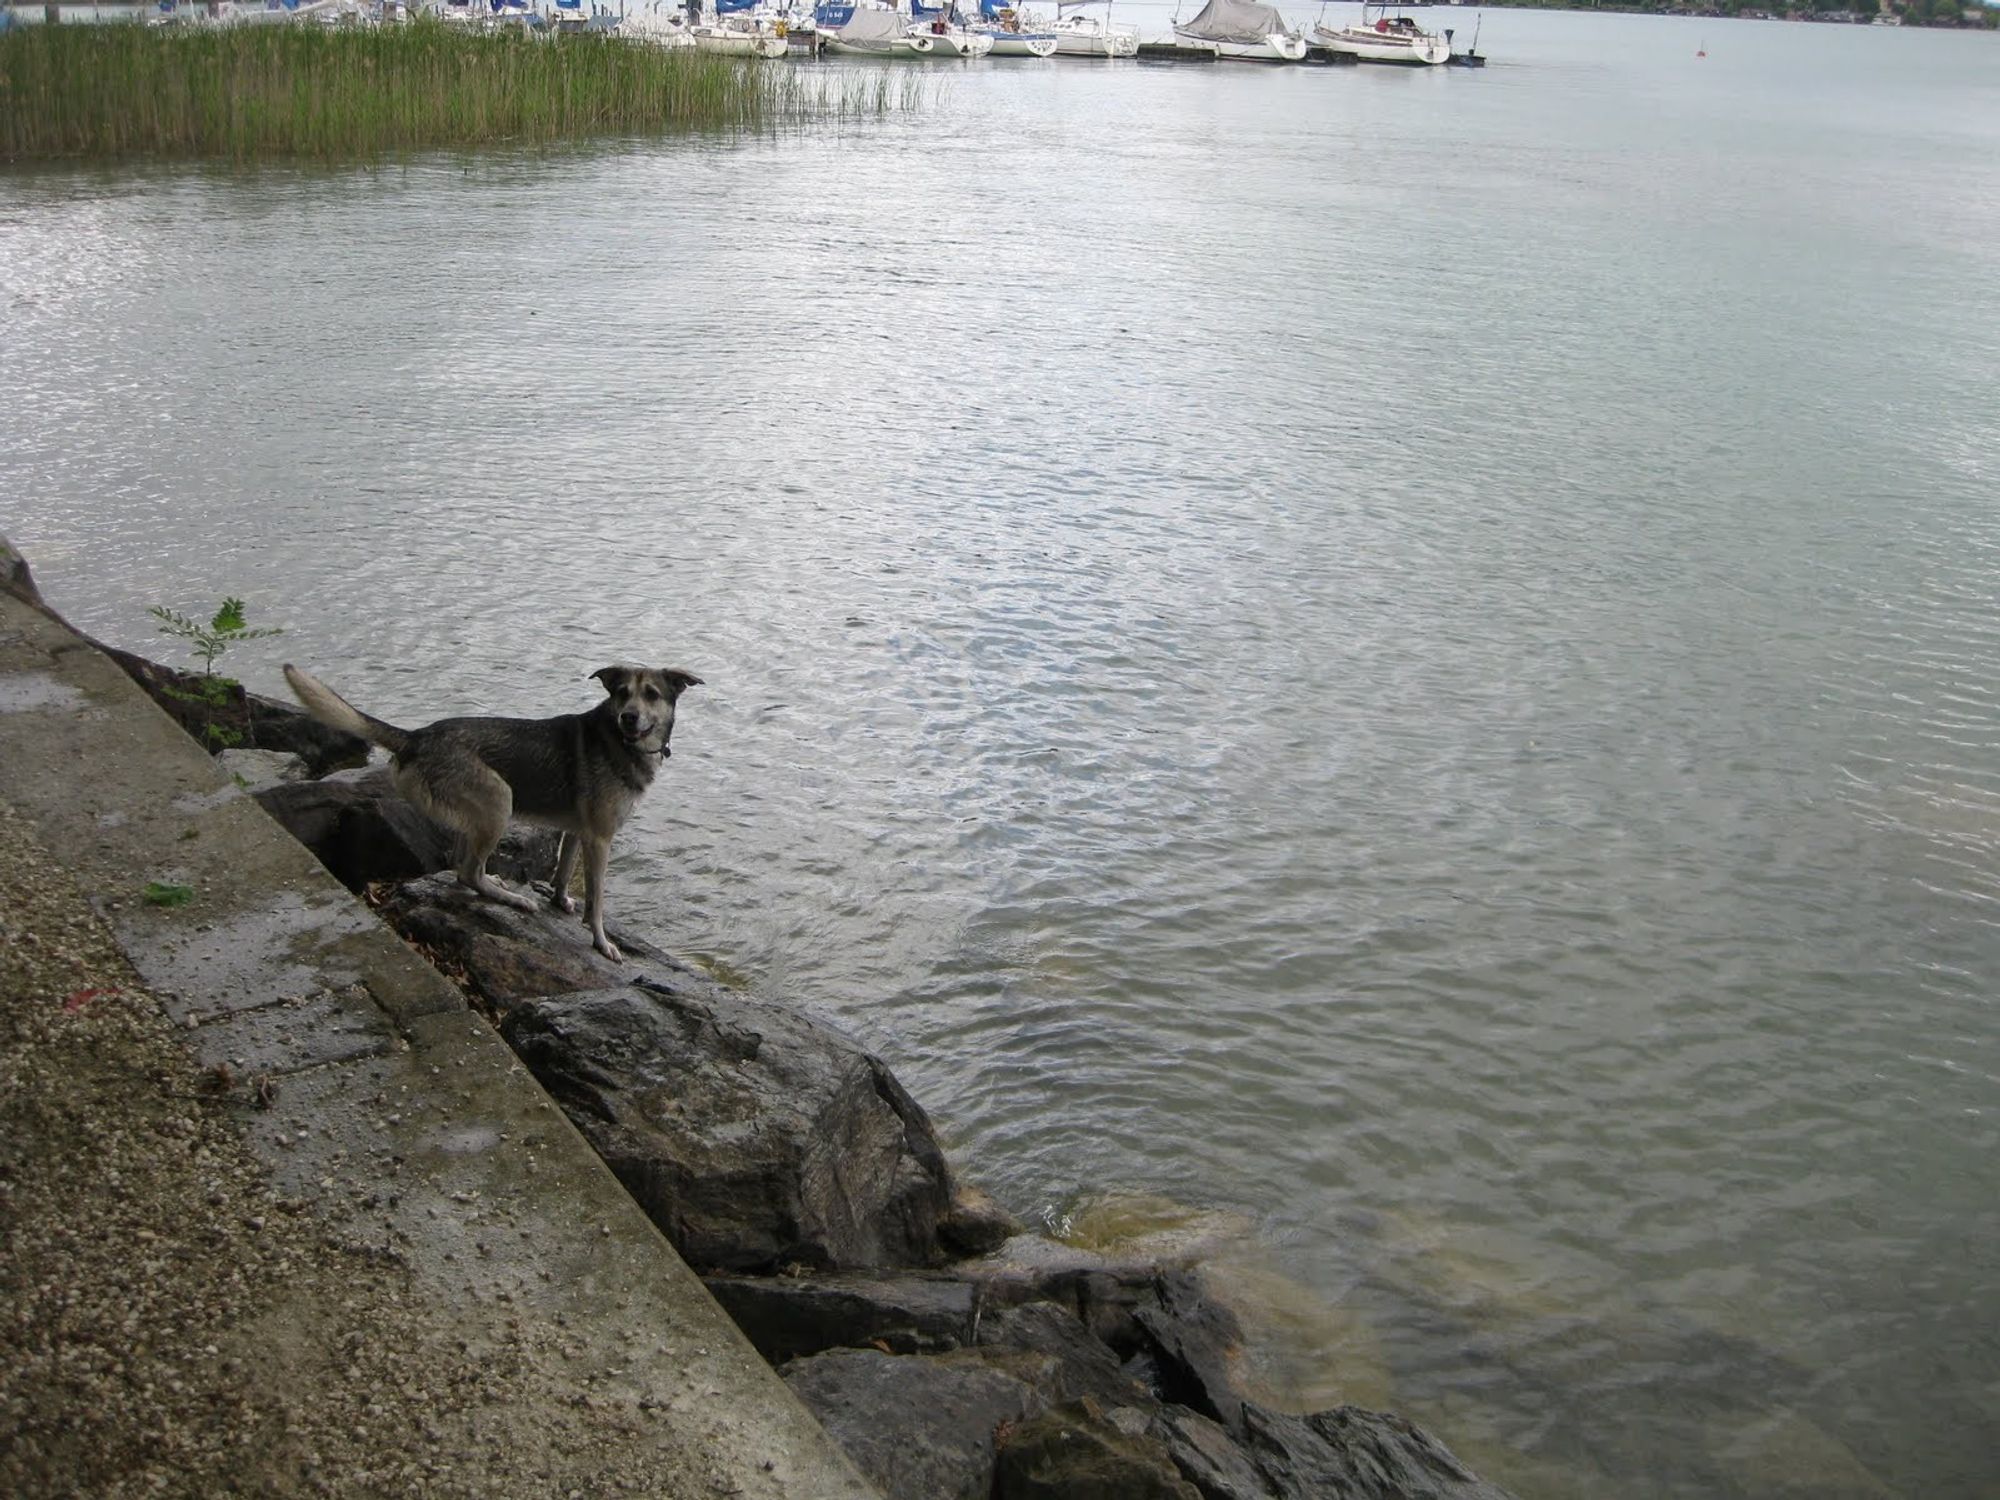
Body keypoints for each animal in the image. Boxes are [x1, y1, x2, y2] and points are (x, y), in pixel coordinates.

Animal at [284, 660, 704, 964]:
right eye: (621, 693)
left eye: (651, 694)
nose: (628, 717)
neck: (619, 740)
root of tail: (416, 736)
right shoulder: (600, 838)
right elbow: (597, 898)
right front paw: (602, 943)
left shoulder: (578, 831)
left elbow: (564, 872)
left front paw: (561, 902)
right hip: (499, 801)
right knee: (467, 871)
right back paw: (513, 899)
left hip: (475, 812)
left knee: (460, 865)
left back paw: (496, 885)